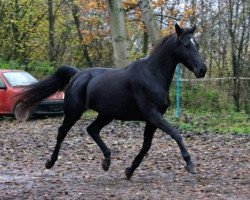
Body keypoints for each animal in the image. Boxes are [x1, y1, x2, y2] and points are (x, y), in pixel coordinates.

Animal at [17, 23, 205, 180]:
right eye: (186, 45)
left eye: (197, 44)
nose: (202, 70)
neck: (152, 75)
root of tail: (77, 75)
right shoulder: (153, 115)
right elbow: (175, 133)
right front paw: (190, 164)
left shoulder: (152, 118)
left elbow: (146, 145)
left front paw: (129, 170)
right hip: (74, 111)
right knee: (62, 132)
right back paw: (50, 162)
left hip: (106, 115)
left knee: (92, 130)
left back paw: (106, 161)